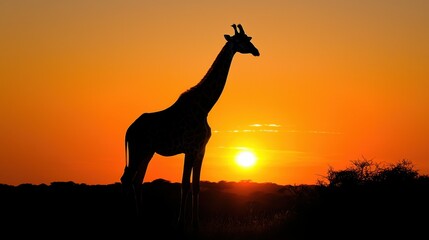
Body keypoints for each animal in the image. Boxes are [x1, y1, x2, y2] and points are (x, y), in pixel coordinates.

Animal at [121, 23, 260, 231]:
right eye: (241, 40)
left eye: (249, 38)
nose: (256, 51)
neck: (205, 107)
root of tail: (129, 130)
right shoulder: (190, 149)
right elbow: (185, 184)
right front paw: (180, 223)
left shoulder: (201, 150)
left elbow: (196, 186)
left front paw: (196, 223)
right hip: (139, 149)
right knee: (127, 178)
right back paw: (128, 221)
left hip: (148, 151)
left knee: (137, 181)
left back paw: (141, 219)